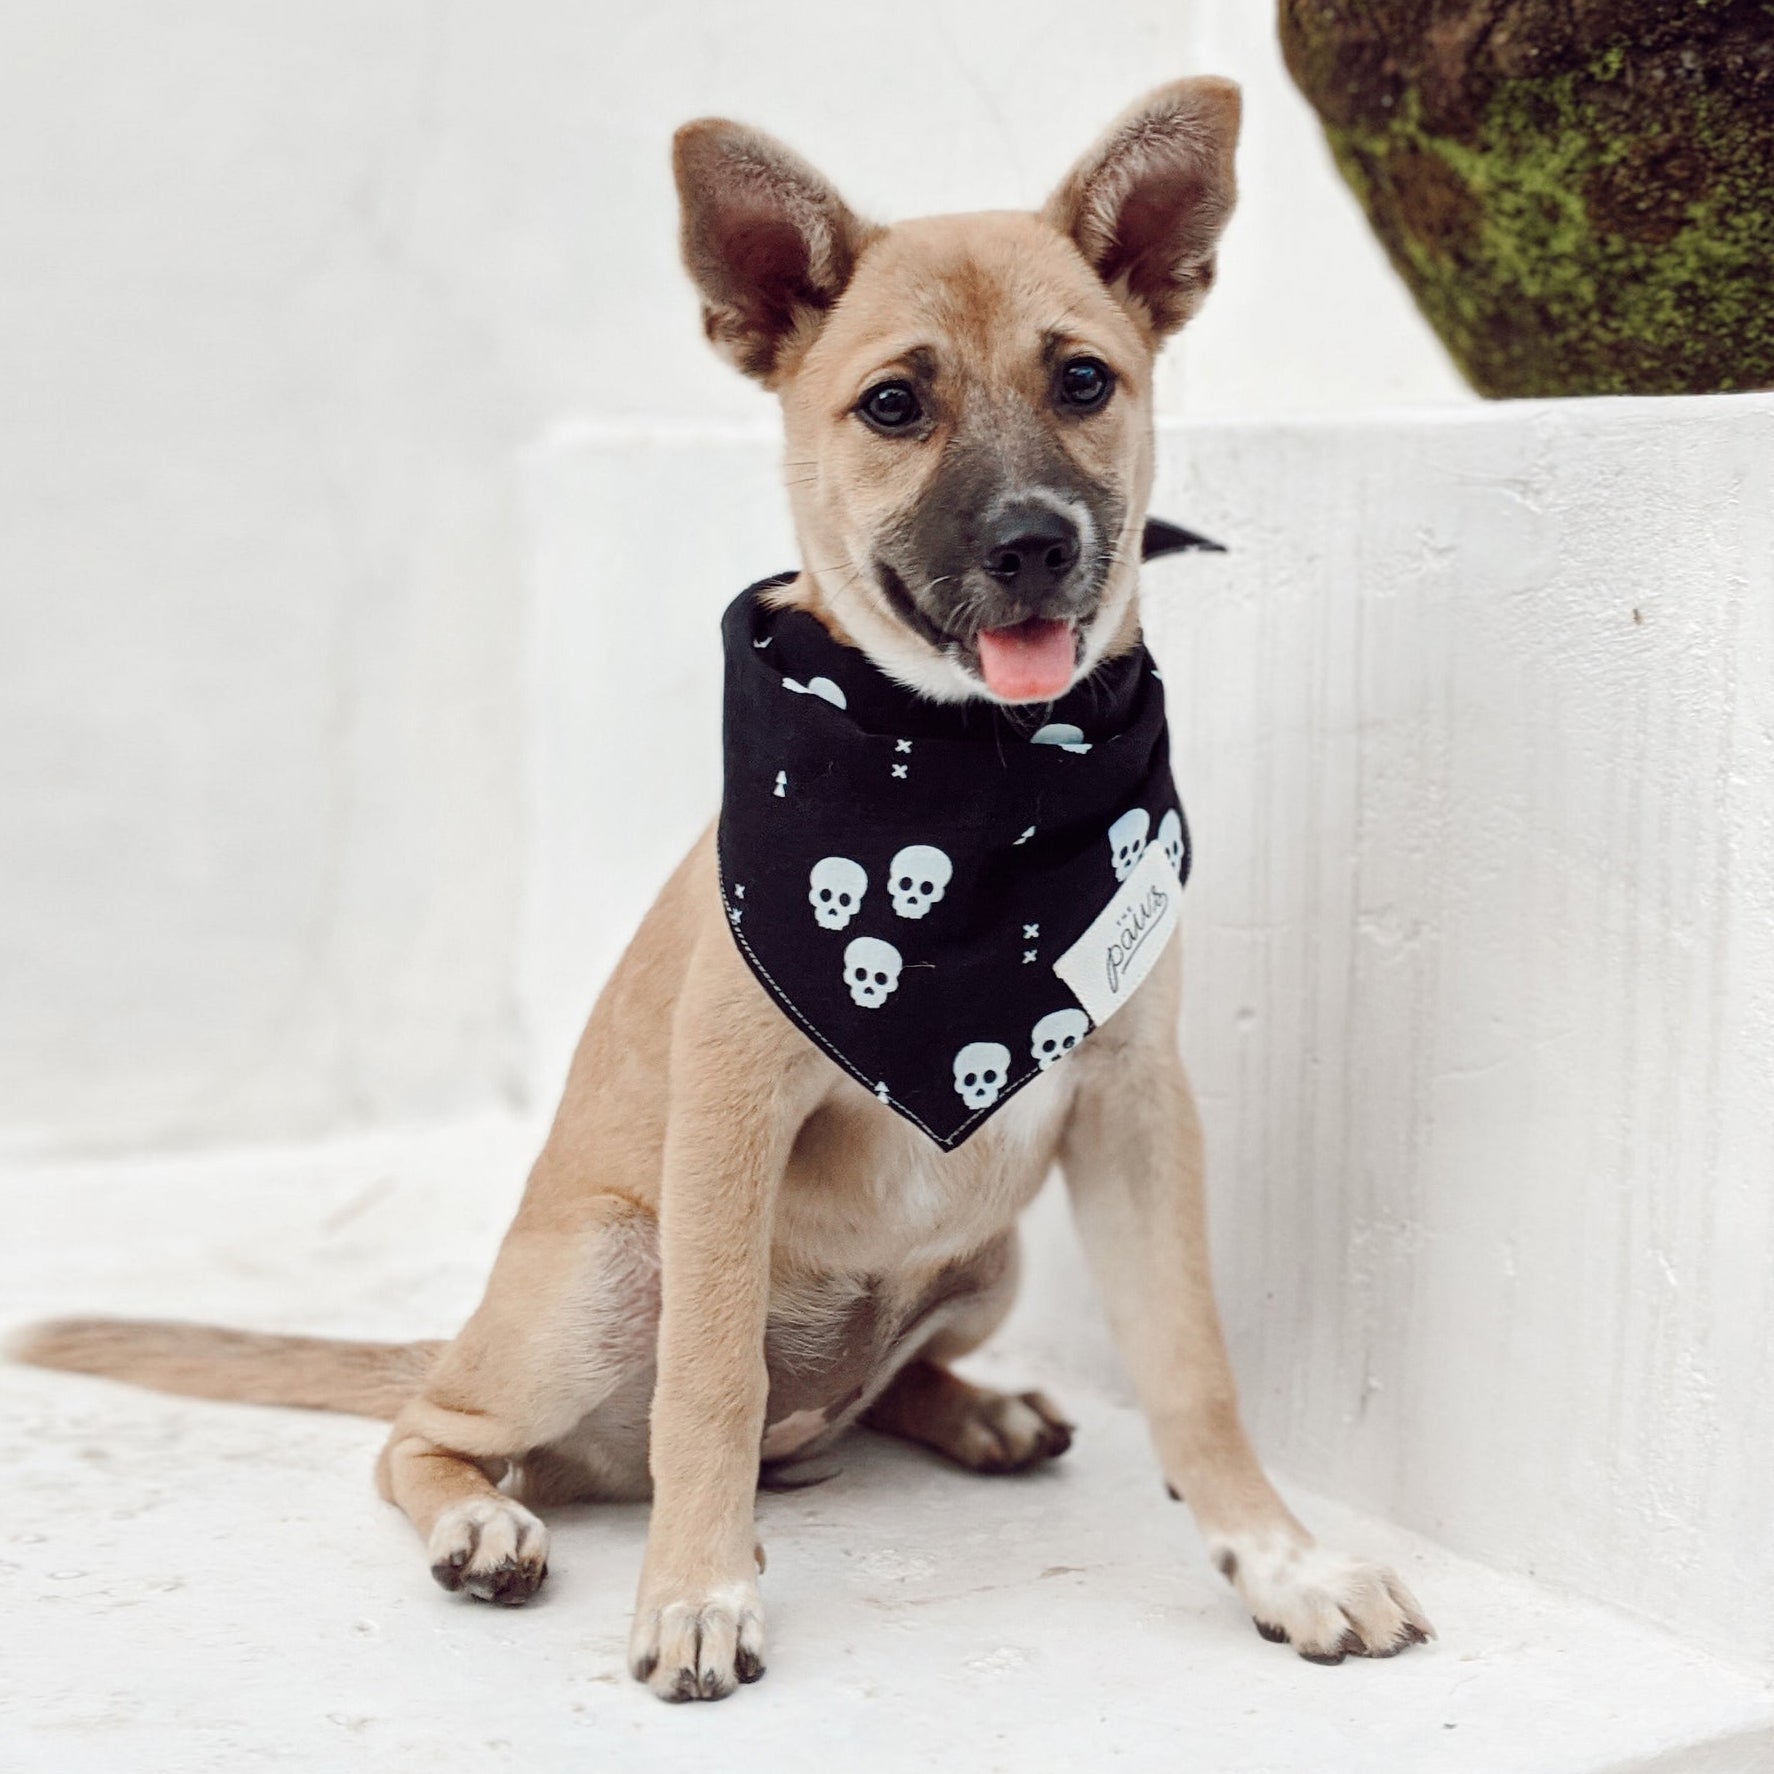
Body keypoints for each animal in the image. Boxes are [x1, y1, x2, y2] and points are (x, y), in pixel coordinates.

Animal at [13, 83, 1433, 1703]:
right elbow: (707, 1382)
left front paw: (1285, 1562)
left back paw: (969, 1410)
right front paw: (696, 1590)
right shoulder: (731, 1111)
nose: (1034, 542)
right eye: (893, 406)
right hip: (602, 1269)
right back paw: (487, 1525)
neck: (966, 780)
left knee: (860, 1390)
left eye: (1084, 379)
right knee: (433, 1434)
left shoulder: (1137, 1109)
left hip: (988, 1254)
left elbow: (1193, 1370)